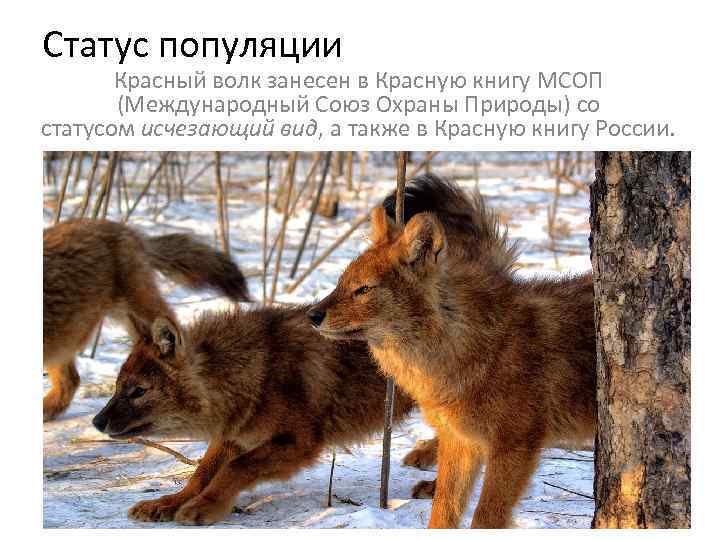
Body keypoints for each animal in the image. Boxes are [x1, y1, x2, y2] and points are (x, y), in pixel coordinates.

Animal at [308, 176, 596, 528]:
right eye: (341, 283)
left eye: (362, 290)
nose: (312, 315)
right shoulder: (462, 442)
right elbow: (443, 510)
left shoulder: (514, 445)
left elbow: (486, 518)